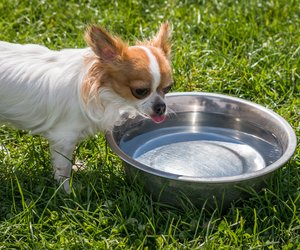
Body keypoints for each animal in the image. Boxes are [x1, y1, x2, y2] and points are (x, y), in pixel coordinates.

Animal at [0, 23, 173, 193]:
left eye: (168, 88)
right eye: (140, 91)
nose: (161, 107)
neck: (103, 91)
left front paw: (75, 169)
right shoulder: (64, 138)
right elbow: (63, 166)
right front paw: (67, 191)